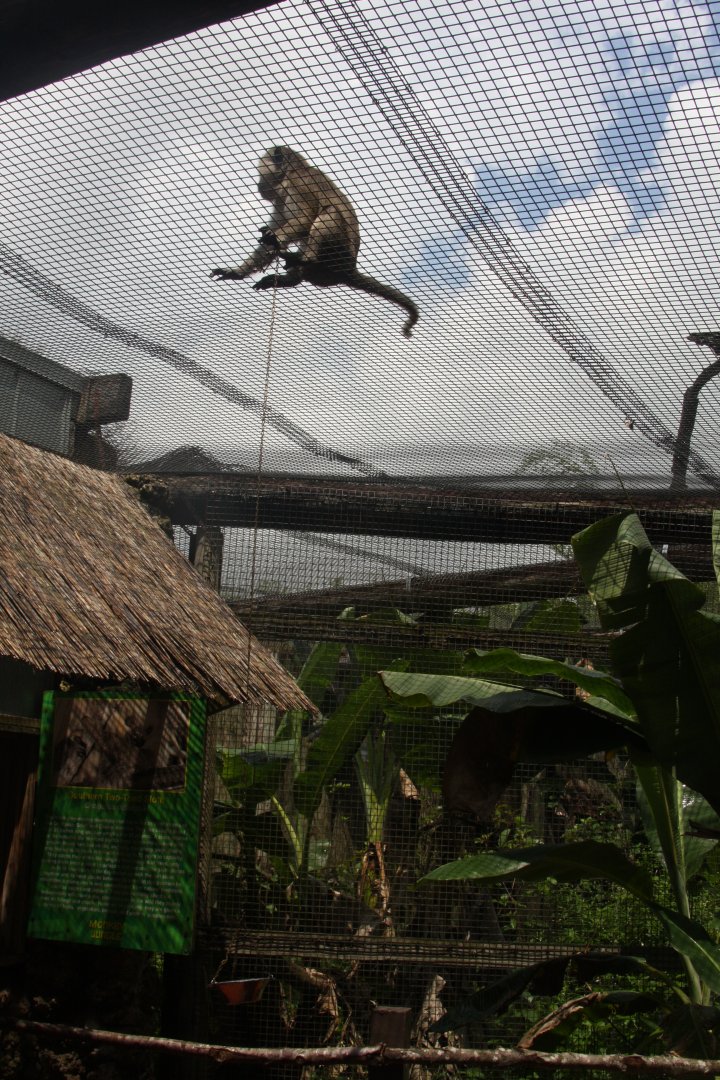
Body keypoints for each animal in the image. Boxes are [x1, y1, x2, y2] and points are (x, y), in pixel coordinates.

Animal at [210, 146, 419, 338]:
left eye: (261, 175)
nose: (258, 185)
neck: (291, 173)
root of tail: (348, 270)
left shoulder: (298, 184)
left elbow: (305, 218)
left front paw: (276, 240)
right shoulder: (282, 198)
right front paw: (236, 272)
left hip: (337, 254)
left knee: (330, 212)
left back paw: (306, 259)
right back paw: (292, 278)